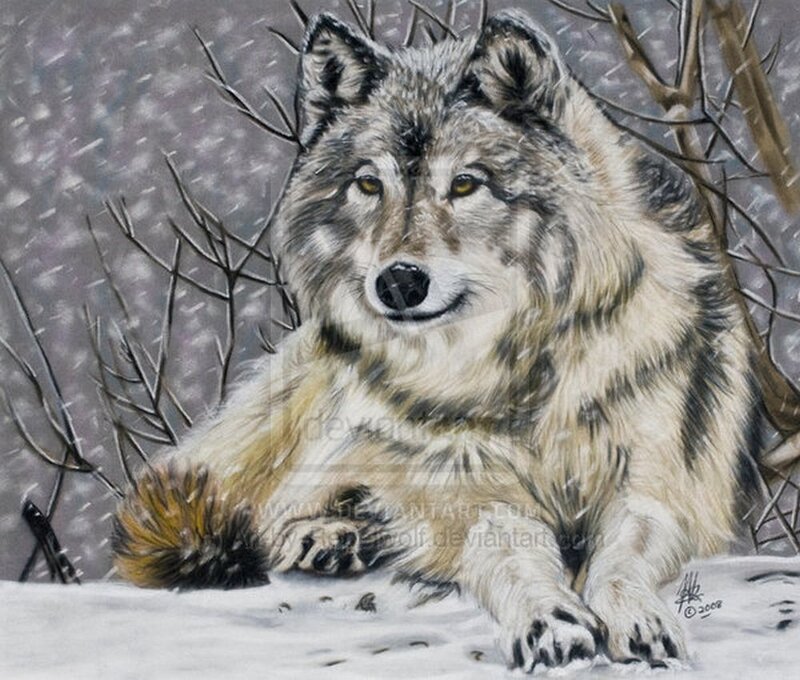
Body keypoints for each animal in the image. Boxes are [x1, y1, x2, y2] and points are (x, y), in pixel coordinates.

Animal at [112, 9, 761, 671]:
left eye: (466, 185)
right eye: (369, 185)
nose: (399, 281)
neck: (514, 373)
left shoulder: (659, 484)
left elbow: (624, 555)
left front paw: (637, 616)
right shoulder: (463, 489)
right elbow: (508, 545)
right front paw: (549, 621)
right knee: (270, 511)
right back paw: (325, 535)